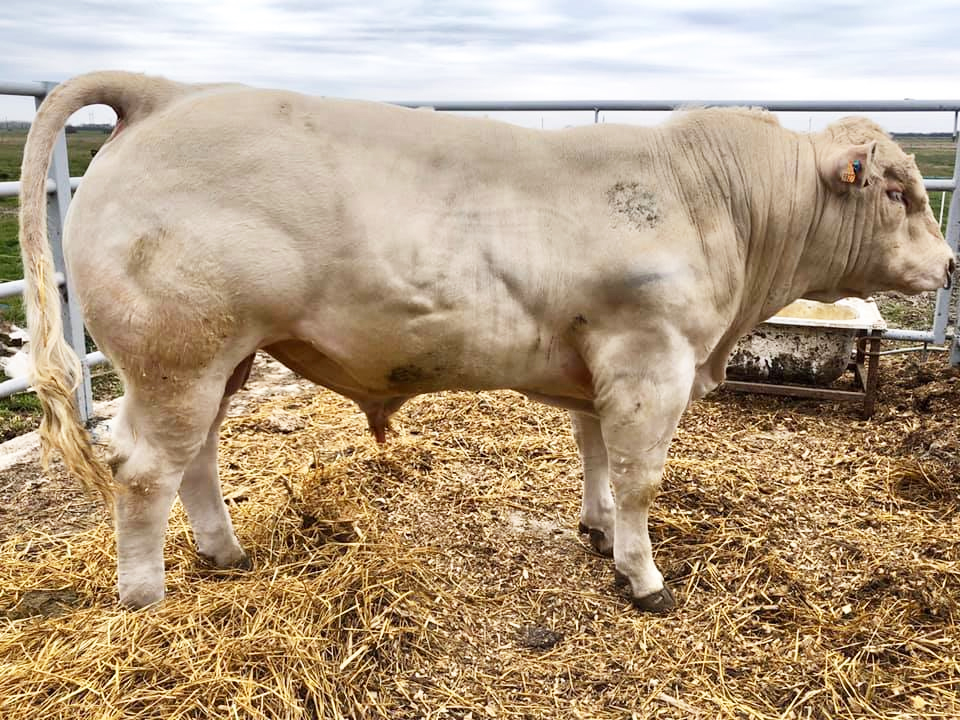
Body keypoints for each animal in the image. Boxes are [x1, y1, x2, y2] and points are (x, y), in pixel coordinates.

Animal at [16, 71, 952, 608]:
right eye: (897, 191)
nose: (948, 263)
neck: (713, 200)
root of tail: (167, 93)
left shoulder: (600, 364)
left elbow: (595, 455)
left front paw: (598, 531)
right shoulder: (652, 359)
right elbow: (641, 477)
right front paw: (644, 578)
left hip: (217, 359)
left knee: (196, 459)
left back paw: (225, 553)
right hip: (179, 356)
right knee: (145, 471)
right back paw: (146, 597)